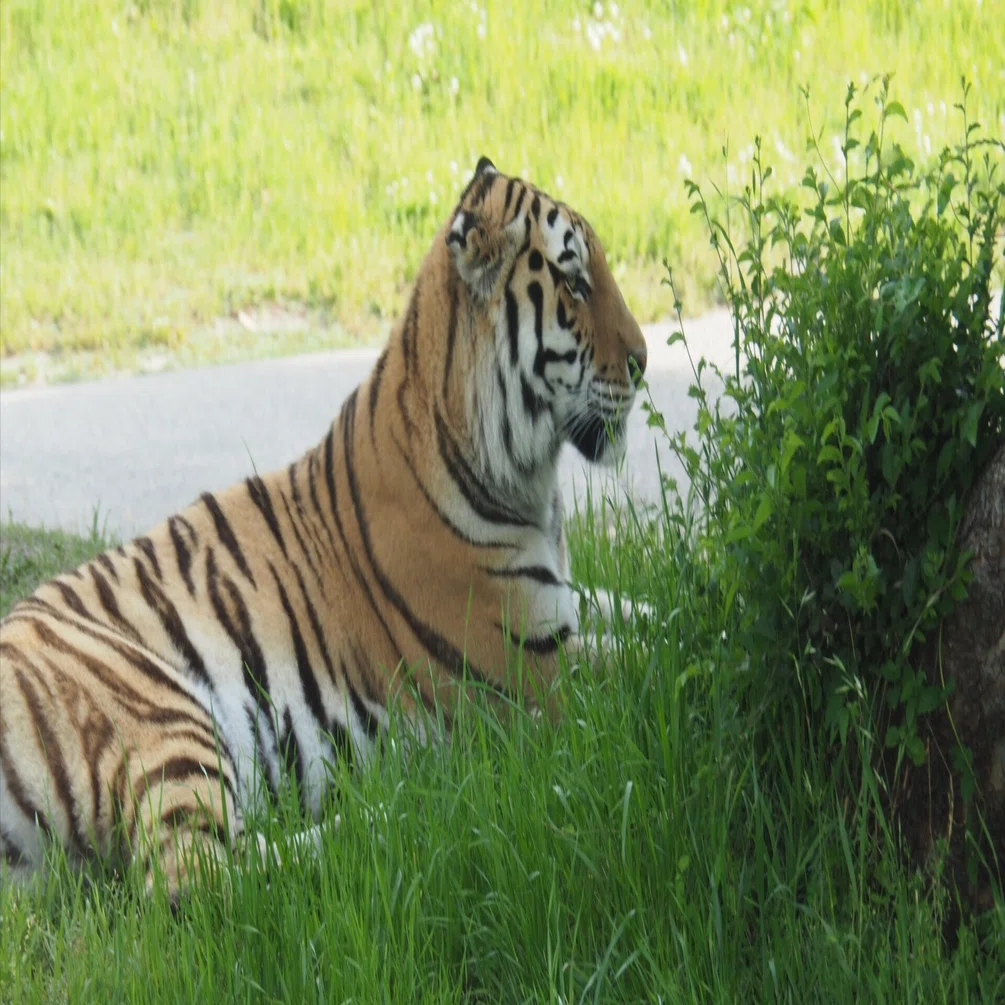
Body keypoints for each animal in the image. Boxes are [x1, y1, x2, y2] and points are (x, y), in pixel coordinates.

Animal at [0, 157, 649, 894]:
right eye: (574, 282)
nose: (644, 361)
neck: (527, 479)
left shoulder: (561, 601)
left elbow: (649, 611)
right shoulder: (528, 665)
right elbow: (645, 656)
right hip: (156, 709)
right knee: (197, 877)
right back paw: (397, 811)